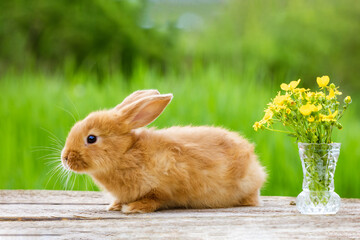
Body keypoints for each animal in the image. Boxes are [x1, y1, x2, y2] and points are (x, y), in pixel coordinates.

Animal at [60, 89, 266, 213]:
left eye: (91, 138)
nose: (65, 158)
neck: (125, 153)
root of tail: (256, 167)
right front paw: (115, 206)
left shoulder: (165, 185)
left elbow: (155, 199)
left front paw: (133, 208)